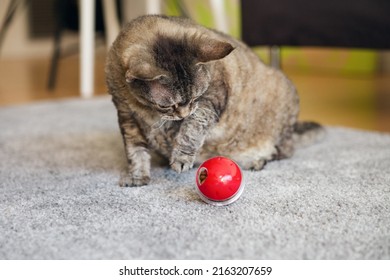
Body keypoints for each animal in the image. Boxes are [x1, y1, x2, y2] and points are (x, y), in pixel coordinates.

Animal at [105, 14, 324, 186]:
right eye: (167, 105)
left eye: (195, 97)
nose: (184, 113)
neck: (144, 108)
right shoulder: (126, 116)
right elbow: (135, 150)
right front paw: (137, 176)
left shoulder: (213, 97)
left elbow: (191, 130)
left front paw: (181, 156)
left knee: (282, 151)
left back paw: (256, 160)